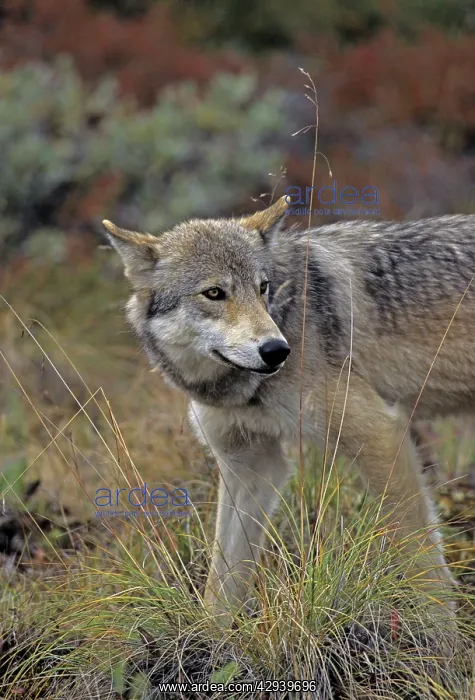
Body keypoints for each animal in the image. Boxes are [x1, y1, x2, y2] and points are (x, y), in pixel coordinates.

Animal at [103, 197, 474, 617]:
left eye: (262, 287)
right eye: (214, 293)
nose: (277, 350)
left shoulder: (380, 434)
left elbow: (423, 558)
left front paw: (441, 632)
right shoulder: (251, 465)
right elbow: (220, 585)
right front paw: (208, 635)